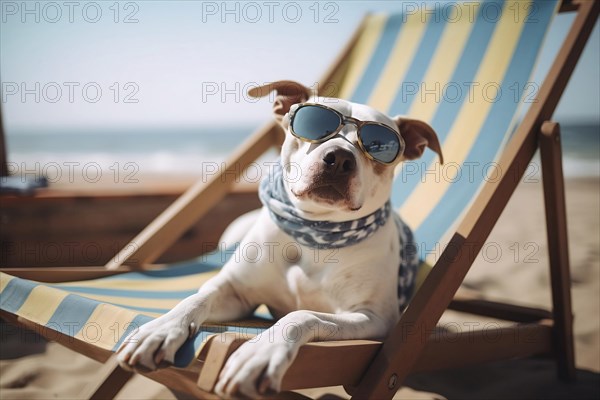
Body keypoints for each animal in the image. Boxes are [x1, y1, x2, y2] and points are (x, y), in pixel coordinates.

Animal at [117, 80, 442, 396]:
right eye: (313, 123)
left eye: (379, 145)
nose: (339, 158)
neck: (313, 233)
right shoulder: (236, 291)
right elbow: (197, 298)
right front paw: (162, 329)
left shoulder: (372, 318)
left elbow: (303, 315)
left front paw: (260, 353)